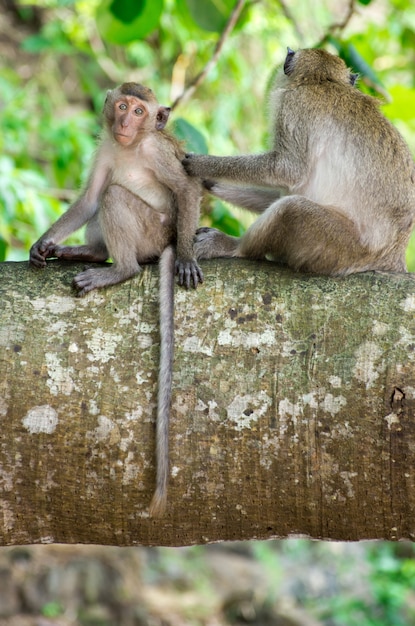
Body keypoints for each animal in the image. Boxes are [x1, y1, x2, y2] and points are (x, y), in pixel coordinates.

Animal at [30, 80, 204, 516]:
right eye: (123, 106)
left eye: (140, 112)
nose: (125, 123)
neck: (131, 147)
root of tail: (165, 242)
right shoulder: (107, 147)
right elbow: (90, 197)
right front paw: (42, 244)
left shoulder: (156, 150)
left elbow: (185, 188)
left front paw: (188, 258)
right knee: (106, 193)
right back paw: (91, 253)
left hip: (153, 231)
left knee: (116, 197)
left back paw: (120, 269)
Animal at [184, 48, 415, 272]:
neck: (321, 80)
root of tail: (393, 258)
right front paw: (209, 181)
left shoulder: (292, 107)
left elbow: (286, 171)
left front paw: (201, 165)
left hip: (344, 248)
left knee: (291, 208)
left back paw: (235, 247)